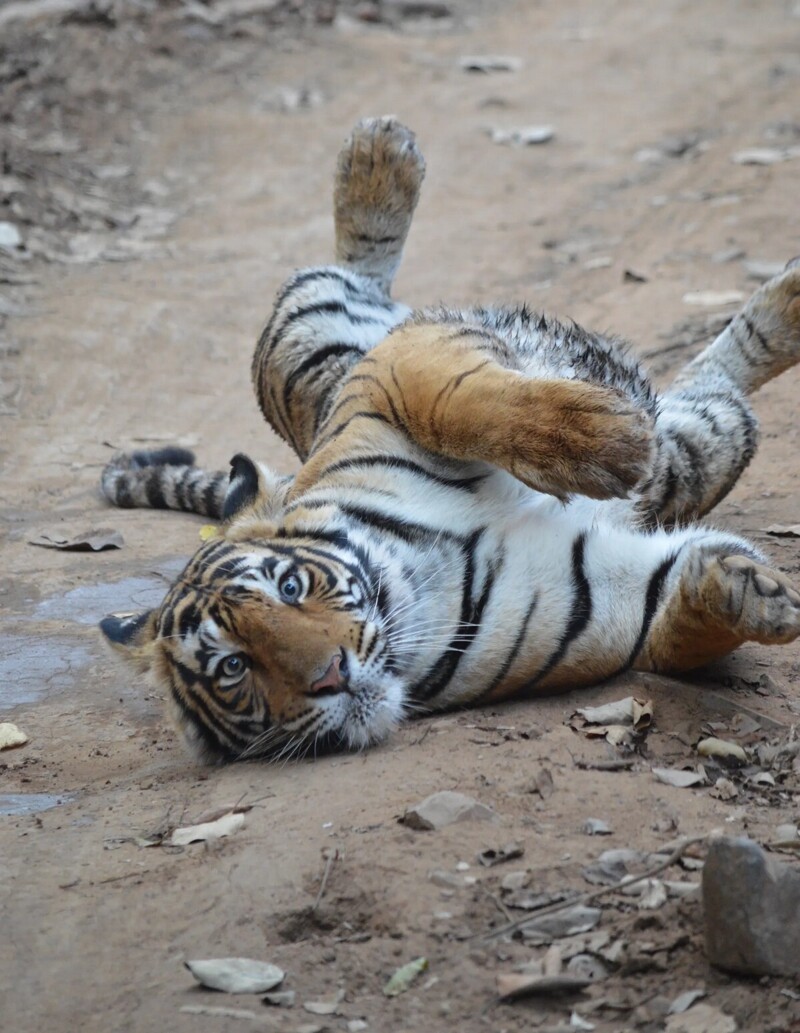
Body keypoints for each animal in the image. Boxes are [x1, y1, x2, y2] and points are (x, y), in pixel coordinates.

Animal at [100, 117, 800, 764]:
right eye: (233, 667)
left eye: (289, 587)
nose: (330, 676)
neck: (415, 579)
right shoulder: (604, 600)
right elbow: (677, 624)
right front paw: (748, 592)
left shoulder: (393, 376)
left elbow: (467, 402)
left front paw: (607, 441)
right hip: (699, 455)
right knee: (718, 393)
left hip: (304, 347)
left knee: (351, 264)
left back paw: (379, 151)